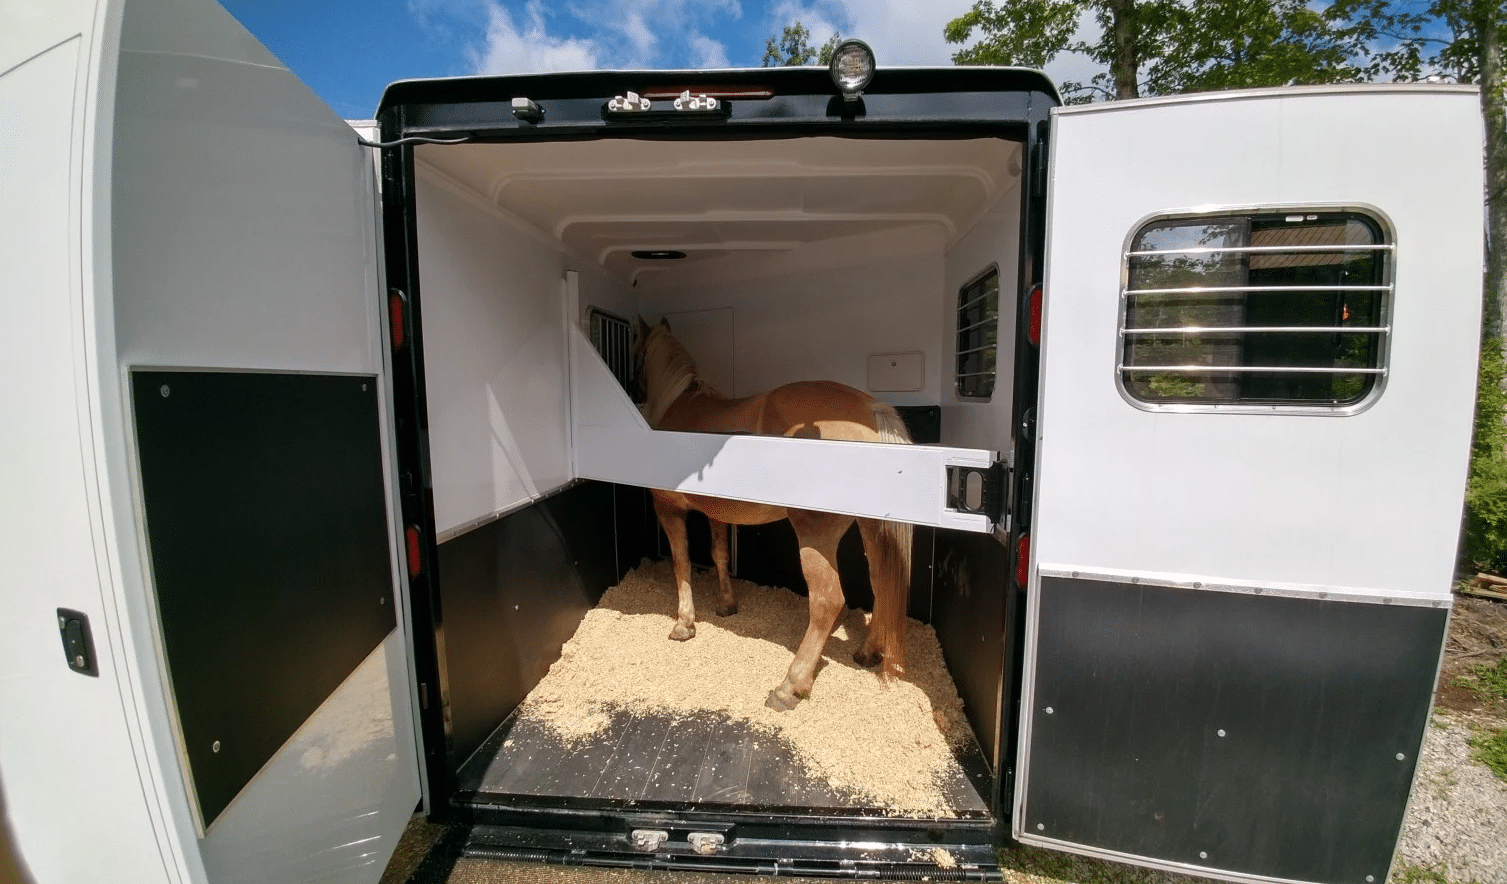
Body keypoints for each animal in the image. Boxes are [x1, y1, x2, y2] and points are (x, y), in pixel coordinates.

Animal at [629, 317, 910, 713]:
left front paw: (684, 623)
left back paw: (789, 686)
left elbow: (681, 561)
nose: (634, 387)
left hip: (815, 536)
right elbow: (719, 554)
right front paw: (726, 605)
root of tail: (870, 408)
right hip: (869, 529)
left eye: (634, 349)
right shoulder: (718, 512)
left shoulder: (668, 508)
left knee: (827, 601)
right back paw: (867, 652)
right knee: (880, 583)